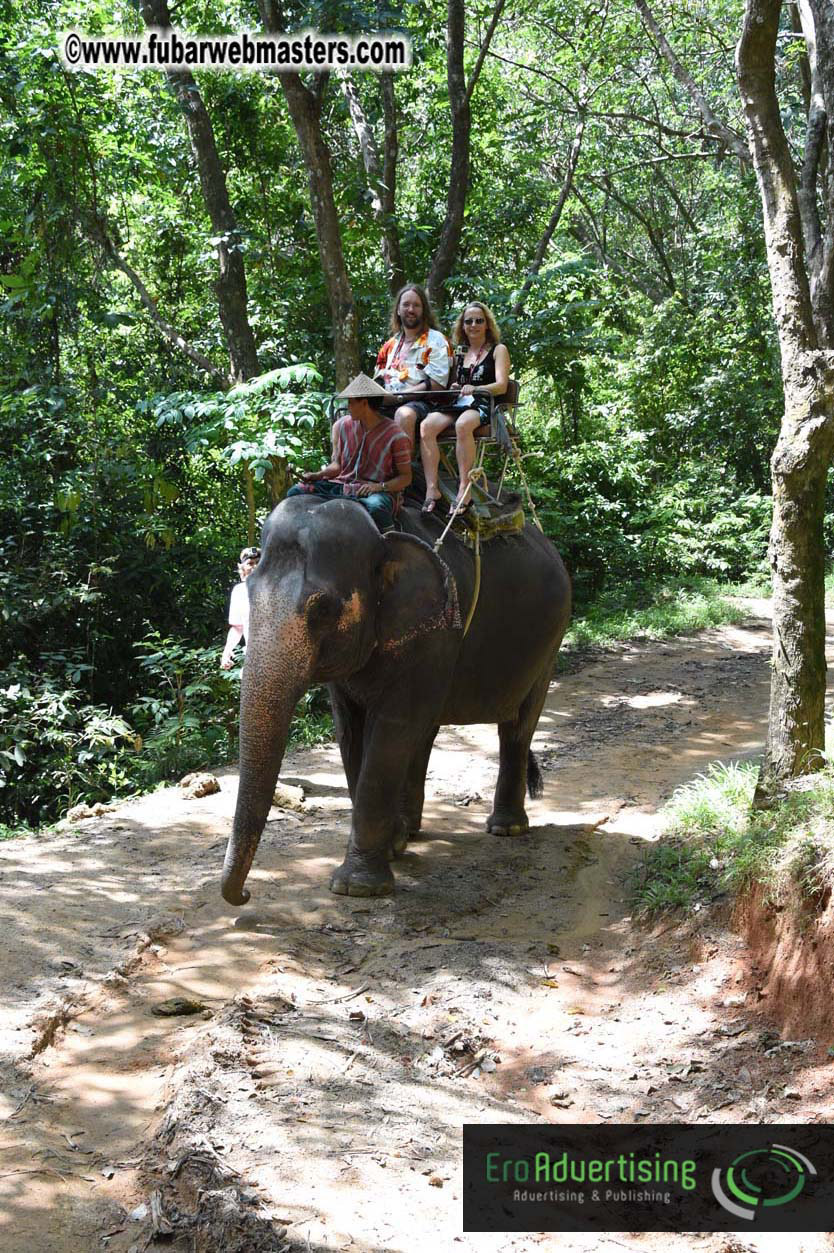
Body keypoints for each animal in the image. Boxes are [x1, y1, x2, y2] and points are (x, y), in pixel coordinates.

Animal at [221, 495, 571, 904]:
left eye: (323, 609)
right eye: (247, 595)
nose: (245, 895)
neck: (382, 537)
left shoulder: (433, 631)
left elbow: (391, 730)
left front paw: (357, 886)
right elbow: (350, 732)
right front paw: (391, 848)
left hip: (550, 642)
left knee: (516, 727)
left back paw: (505, 829)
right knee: (426, 733)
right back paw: (410, 832)